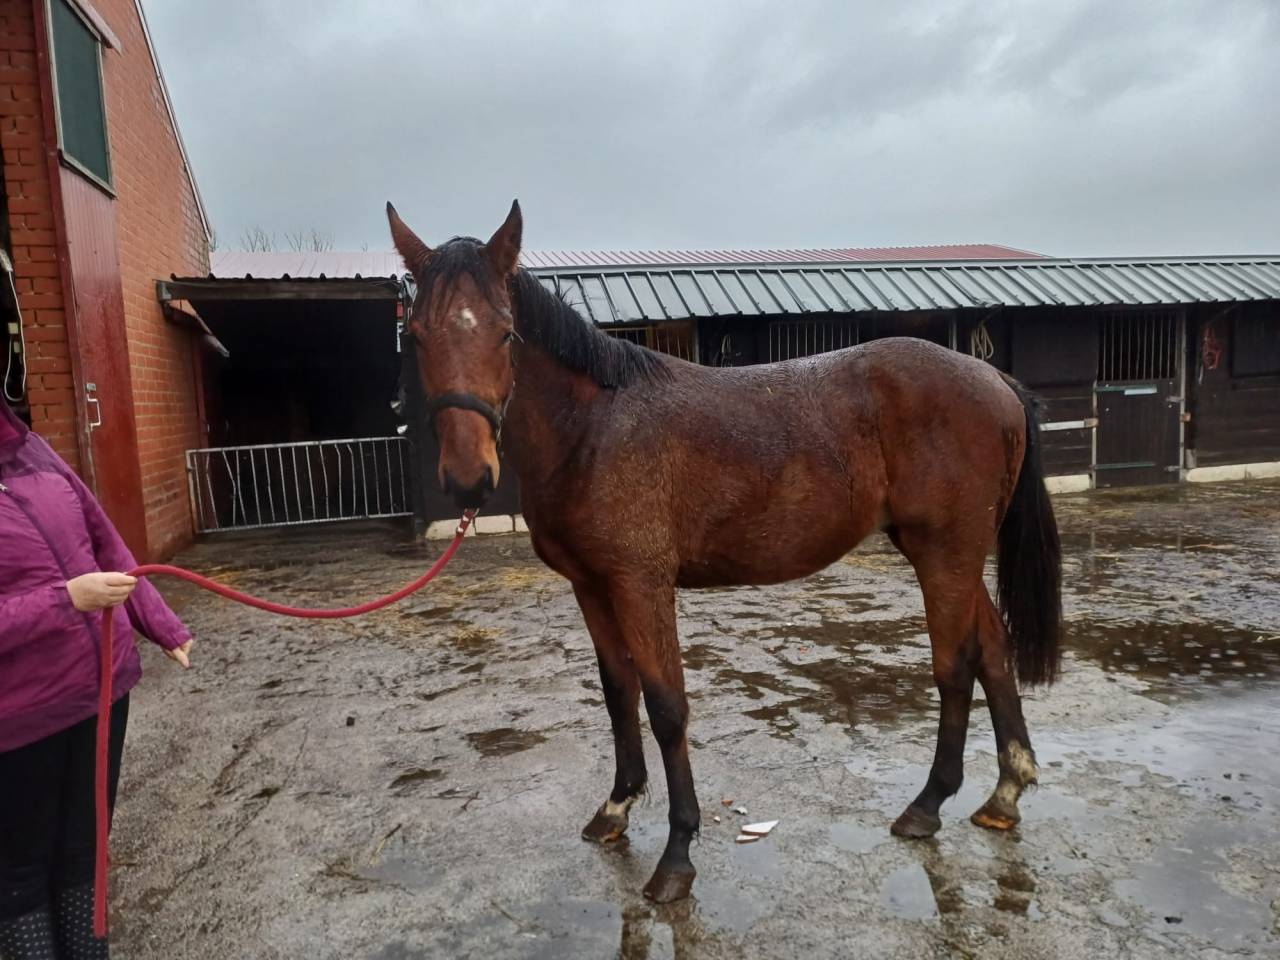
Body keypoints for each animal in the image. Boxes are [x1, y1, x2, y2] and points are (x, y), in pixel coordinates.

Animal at [386, 199, 1062, 903]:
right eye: (419, 337)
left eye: (505, 333)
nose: (468, 479)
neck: (594, 427)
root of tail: (994, 378)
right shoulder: (591, 585)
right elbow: (618, 691)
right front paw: (616, 808)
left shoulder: (642, 585)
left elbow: (666, 706)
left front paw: (677, 853)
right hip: (949, 555)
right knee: (994, 650)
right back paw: (1004, 793)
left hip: (944, 554)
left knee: (956, 666)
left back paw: (928, 804)